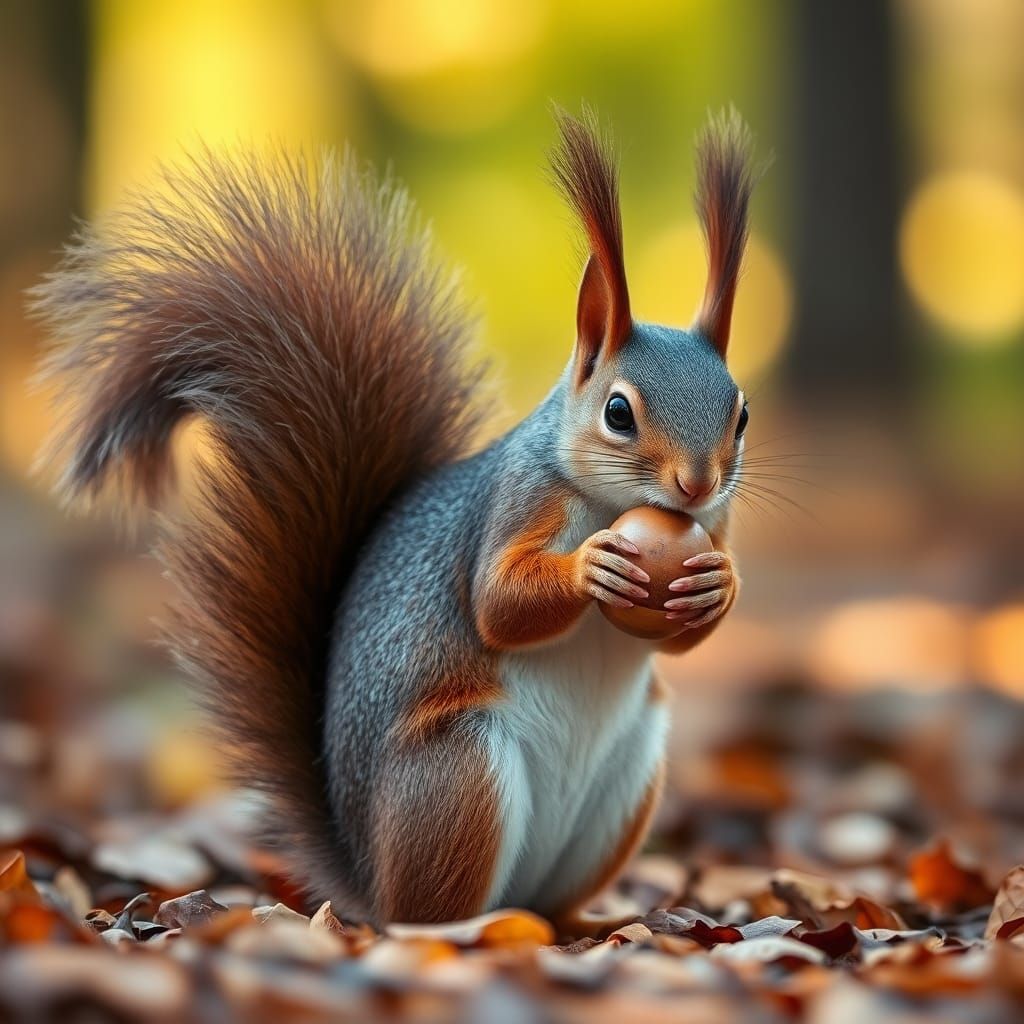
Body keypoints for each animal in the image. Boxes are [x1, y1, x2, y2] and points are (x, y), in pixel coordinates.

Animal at [32, 109, 759, 933]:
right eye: (617, 412)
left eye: (741, 416)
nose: (697, 484)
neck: (612, 502)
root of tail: (366, 880)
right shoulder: (518, 499)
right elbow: (497, 603)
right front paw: (590, 566)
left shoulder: (716, 520)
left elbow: (682, 638)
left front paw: (717, 584)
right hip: (457, 776)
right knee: (429, 912)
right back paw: (474, 927)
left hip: (626, 777)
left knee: (548, 900)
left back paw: (587, 923)